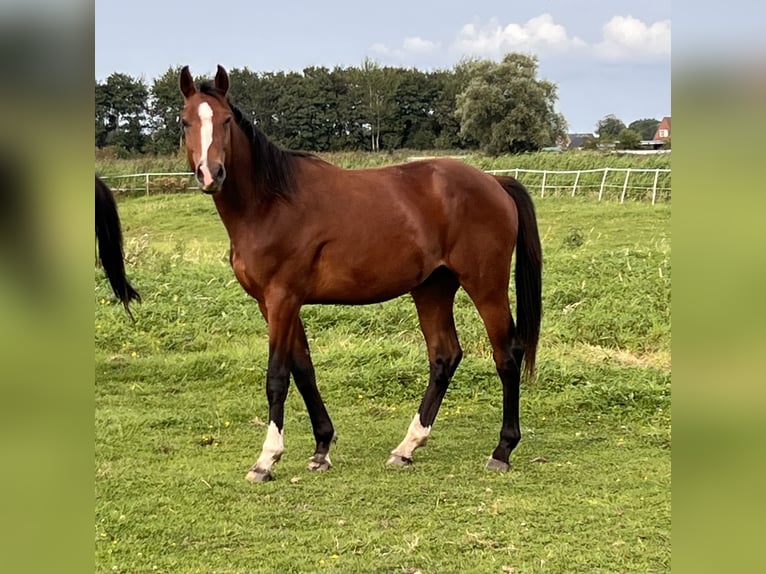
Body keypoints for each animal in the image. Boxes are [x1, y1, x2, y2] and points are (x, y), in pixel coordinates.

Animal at [179, 65, 544, 484]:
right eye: (185, 121)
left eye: (225, 120)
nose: (211, 175)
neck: (269, 203)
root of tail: (494, 182)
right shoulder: (275, 304)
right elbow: (304, 369)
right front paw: (321, 448)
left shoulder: (282, 298)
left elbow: (278, 376)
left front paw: (267, 459)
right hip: (432, 288)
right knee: (444, 356)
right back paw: (407, 448)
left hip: (486, 286)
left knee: (507, 354)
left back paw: (502, 449)